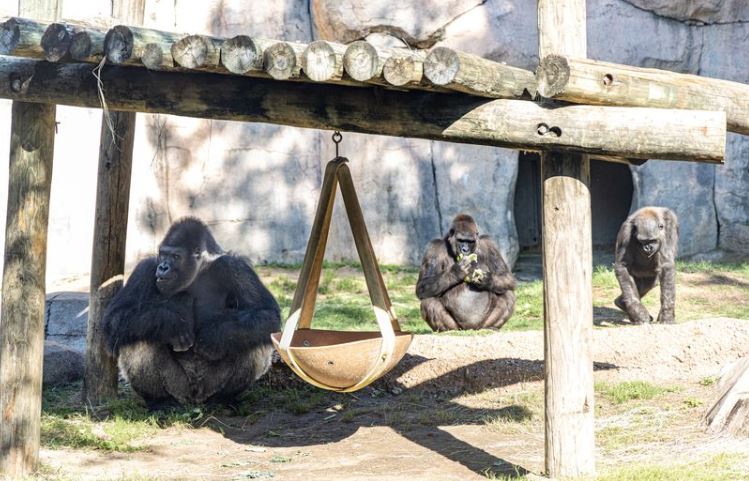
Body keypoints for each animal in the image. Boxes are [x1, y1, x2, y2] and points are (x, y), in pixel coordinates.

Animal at [103, 218, 280, 408]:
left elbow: (267, 314)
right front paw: (174, 323)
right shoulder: (145, 268)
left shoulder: (235, 267)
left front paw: (216, 336)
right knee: (137, 336)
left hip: (210, 386)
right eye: (163, 254)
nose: (163, 267)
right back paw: (160, 401)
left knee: (255, 336)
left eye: (175, 257)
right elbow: (117, 318)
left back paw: (224, 399)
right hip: (178, 388)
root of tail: (194, 398)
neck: (199, 270)